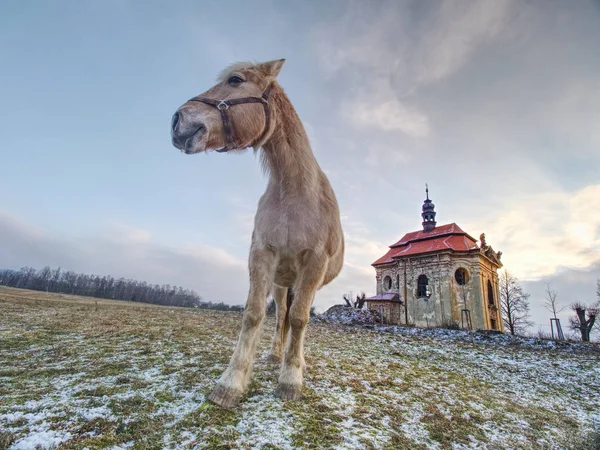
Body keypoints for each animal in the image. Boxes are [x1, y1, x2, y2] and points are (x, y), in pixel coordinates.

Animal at [171, 59, 344, 408]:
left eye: (236, 80)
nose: (176, 121)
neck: (295, 193)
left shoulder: (314, 263)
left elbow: (301, 319)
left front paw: (291, 380)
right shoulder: (262, 255)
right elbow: (253, 315)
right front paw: (231, 384)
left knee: (294, 318)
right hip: (281, 283)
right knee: (281, 317)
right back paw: (277, 356)